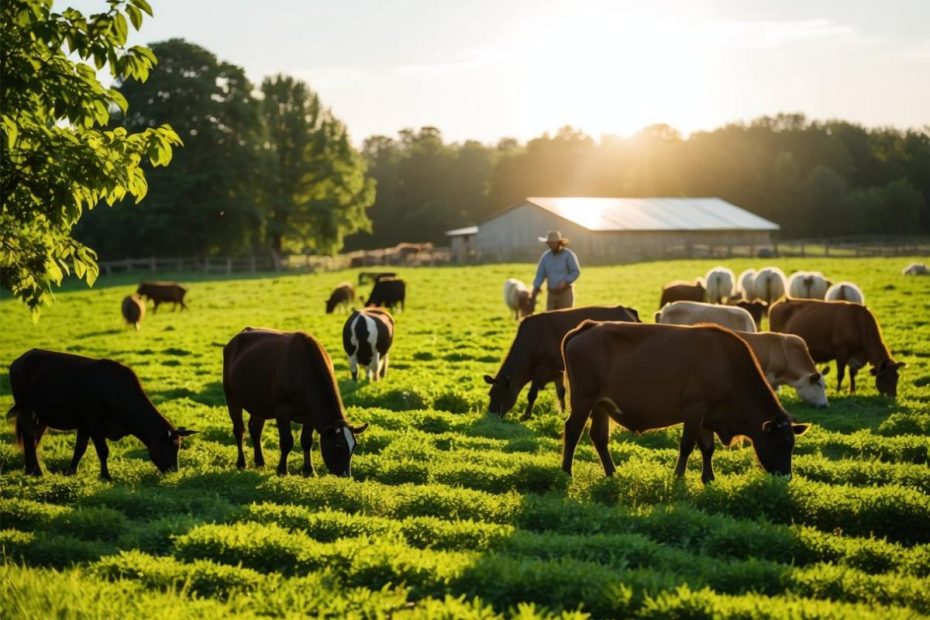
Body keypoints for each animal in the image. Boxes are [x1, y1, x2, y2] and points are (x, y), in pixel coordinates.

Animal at [7, 348, 197, 480]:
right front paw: (106, 476)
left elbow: (80, 449)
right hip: (25, 407)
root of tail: (20, 360)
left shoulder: (84, 424)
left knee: (31, 439)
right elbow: (103, 450)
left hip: (41, 416)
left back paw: (29, 469)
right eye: (169, 447)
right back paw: (37, 471)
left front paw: (71, 472)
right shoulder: (93, 421)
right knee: (29, 437)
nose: (174, 471)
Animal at [223, 326, 368, 478]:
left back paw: (260, 462)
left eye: (354, 446)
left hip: (259, 404)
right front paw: (282, 470)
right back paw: (241, 463)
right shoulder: (281, 409)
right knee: (239, 430)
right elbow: (287, 441)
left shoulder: (310, 415)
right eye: (337, 446)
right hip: (231, 397)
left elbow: (306, 441)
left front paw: (309, 471)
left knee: (255, 429)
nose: (346, 475)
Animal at [478, 306, 640, 422]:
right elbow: (561, 392)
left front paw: (526, 416)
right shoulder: (557, 369)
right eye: (490, 394)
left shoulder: (542, 367)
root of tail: (625, 309)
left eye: (500, 393)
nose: (491, 416)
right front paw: (562, 412)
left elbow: (532, 394)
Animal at [560, 322, 804, 482]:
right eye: (781, 444)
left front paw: (709, 478)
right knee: (572, 431)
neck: (727, 365)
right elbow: (687, 445)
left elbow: (708, 448)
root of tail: (588, 327)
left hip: (600, 405)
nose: (787, 477)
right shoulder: (694, 409)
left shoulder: (707, 416)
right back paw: (566, 472)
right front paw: (678, 476)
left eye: (792, 445)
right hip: (583, 399)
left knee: (599, 437)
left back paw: (612, 473)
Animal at [768, 300, 900, 398]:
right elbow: (840, 374)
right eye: (886, 377)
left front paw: (852, 391)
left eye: (897, 377)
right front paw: (837, 391)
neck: (859, 323)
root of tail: (781, 302)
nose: (893, 396)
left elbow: (852, 374)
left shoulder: (855, 358)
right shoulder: (842, 352)